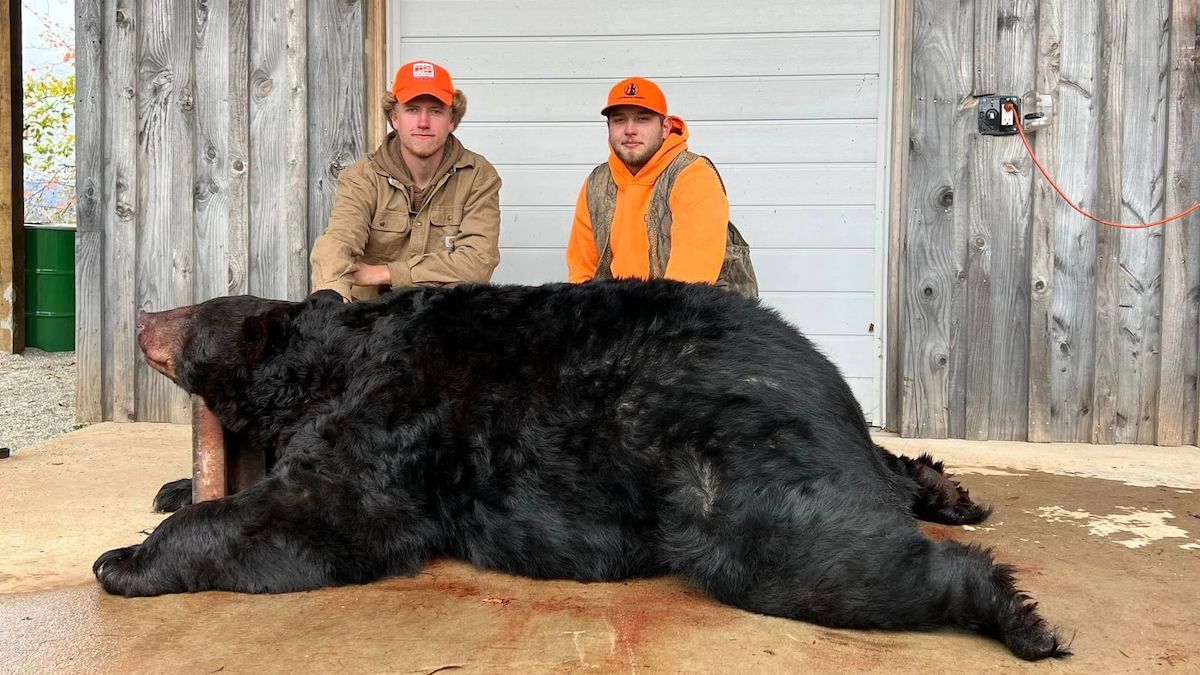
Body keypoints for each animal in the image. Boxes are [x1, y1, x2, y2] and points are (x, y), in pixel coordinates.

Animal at [94, 280, 1069, 661]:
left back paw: (1015, 611)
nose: (138, 311)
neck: (332, 358)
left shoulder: (395, 419)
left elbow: (319, 512)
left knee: (806, 550)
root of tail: (822, 375)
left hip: (726, 462)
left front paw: (127, 555)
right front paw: (172, 486)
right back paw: (946, 489)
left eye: (192, 311)